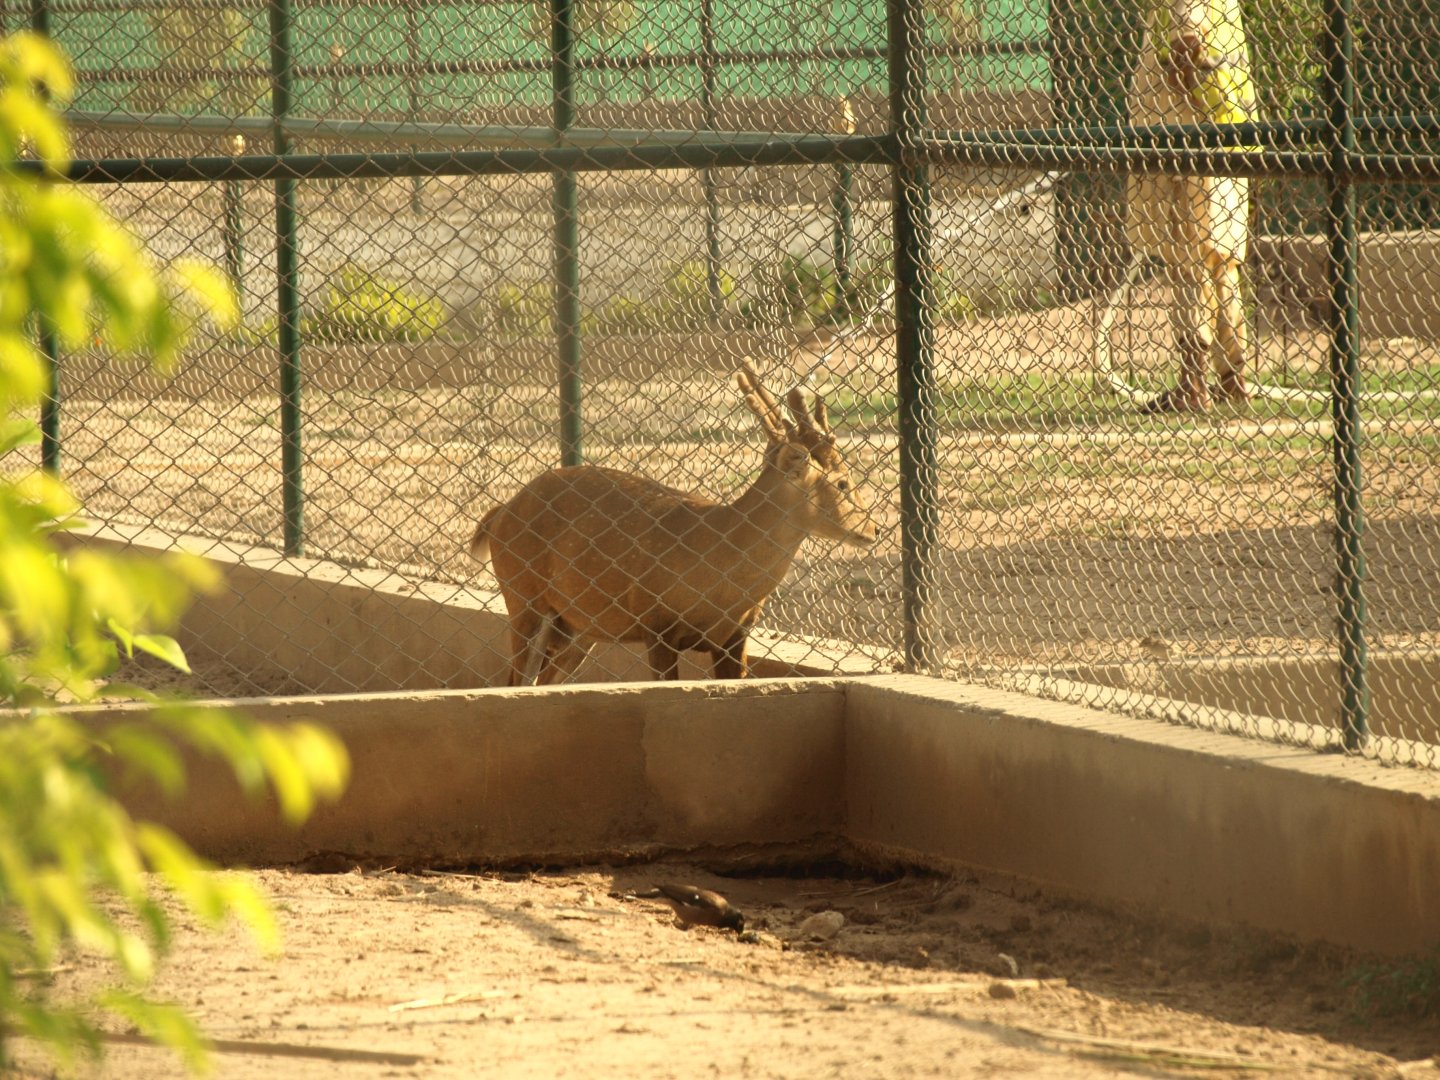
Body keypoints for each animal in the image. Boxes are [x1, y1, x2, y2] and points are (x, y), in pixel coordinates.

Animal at [468, 362, 878, 685]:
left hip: (578, 625)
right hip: (524, 598)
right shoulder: (658, 624)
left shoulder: (736, 636)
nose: (873, 530)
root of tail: (499, 513)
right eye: (842, 481)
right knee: (515, 681)